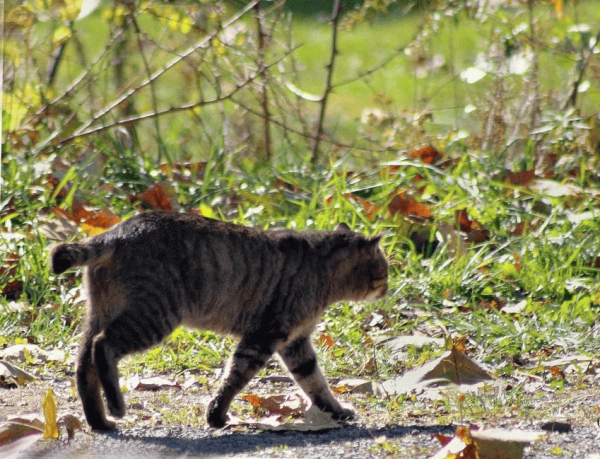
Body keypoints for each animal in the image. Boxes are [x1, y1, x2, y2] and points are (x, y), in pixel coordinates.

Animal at [51, 210, 390, 434]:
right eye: (384, 269)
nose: (387, 288)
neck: (321, 268)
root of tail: (117, 232)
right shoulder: (265, 336)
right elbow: (235, 378)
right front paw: (216, 416)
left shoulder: (295, 344)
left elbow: (316, 384)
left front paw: (338, 411)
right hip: (153, 316)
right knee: (102, 347)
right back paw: (116, 407)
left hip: (100, 314)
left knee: (83, 365)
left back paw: (100, 421)